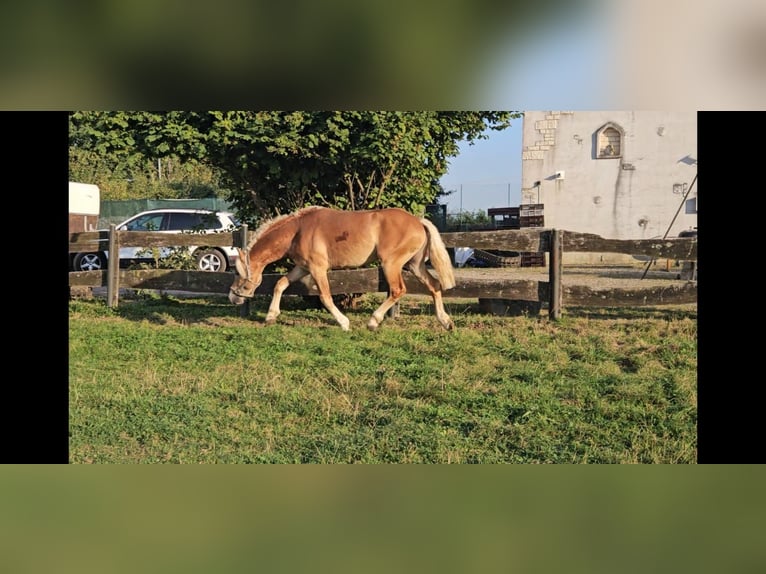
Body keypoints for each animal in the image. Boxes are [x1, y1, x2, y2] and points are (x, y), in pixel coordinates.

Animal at [228, 208, 456, 332]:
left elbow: (325, 297)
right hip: (415, 265)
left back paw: (373, 322)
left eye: (238, 273)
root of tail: (419, 221)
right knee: (434, 286)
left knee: (398, 290)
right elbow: (280, 284)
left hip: (391, 264)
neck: (298, 230)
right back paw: (446, 322)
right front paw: (270, 317)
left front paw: (344, 323)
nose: (232, 297)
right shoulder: (303, 267)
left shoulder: (318, 269)